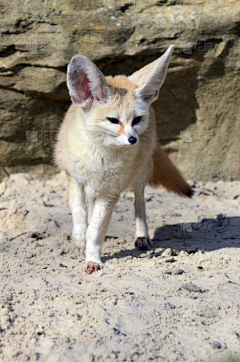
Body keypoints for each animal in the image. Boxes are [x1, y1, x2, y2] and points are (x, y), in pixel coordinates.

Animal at [54, 44, 191, 272]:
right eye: (113, 120)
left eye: (137, 120)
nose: (133, 139)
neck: (100, 157)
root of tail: (119, 76)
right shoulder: (75, 179)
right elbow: (79, 214)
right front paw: (80, 238)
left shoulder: (110, 192)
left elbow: (96, 229)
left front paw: (93, 258)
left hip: (139, 175)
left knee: (140, 204)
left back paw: (142, 236)